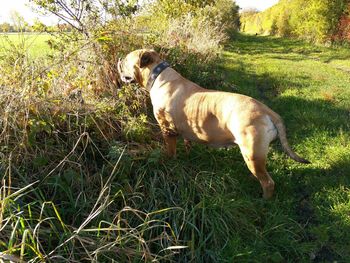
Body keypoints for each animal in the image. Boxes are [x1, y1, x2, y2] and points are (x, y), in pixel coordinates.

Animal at [117, 49, 308, 200]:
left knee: (268, 182)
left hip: (252, 154)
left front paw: (168, 161)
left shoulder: (167, 130)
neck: (158, 76)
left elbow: (170, 151)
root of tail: (268, 111)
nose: (118, 60)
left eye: (126, 59)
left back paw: (263, 201)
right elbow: (187, 144)